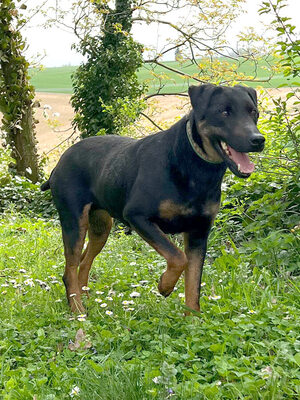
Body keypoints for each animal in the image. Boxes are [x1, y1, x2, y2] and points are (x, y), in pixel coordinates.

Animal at [40, 84, 264, 314]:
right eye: (224, 112)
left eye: (253, 112)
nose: (258, 139)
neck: (193, 167)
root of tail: (58, 165)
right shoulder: (138, 217)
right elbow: (178, 257)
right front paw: (165, 285)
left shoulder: (199, 232)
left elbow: (193, 285)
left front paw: (192, 318)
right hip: (74, 221)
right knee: (70, 270)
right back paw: (78, 311)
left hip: (101, 225)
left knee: (84, 262)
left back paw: (87, 301)